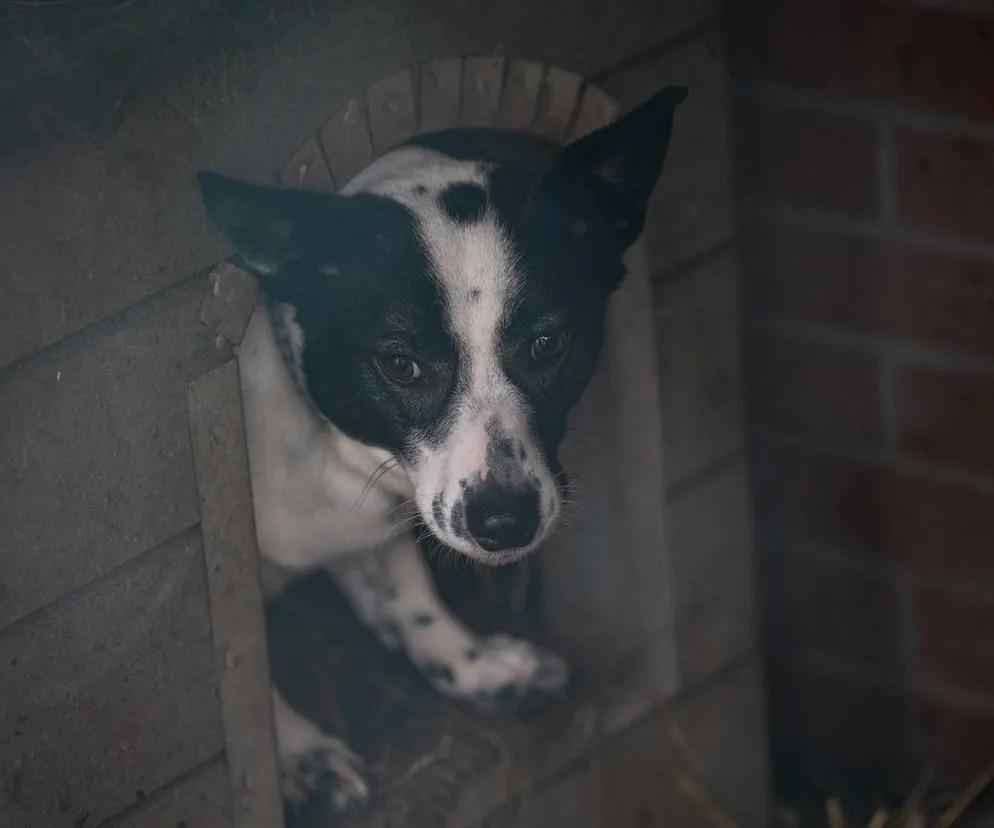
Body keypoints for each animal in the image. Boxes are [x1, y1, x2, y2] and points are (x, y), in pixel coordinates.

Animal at [198, 81, 684, 820]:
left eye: (548, 343)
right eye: (401, 364)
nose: (504, 522)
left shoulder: (374, 531)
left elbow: (408, 593)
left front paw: (476, 666)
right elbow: (257, 682)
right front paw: (301, 757)